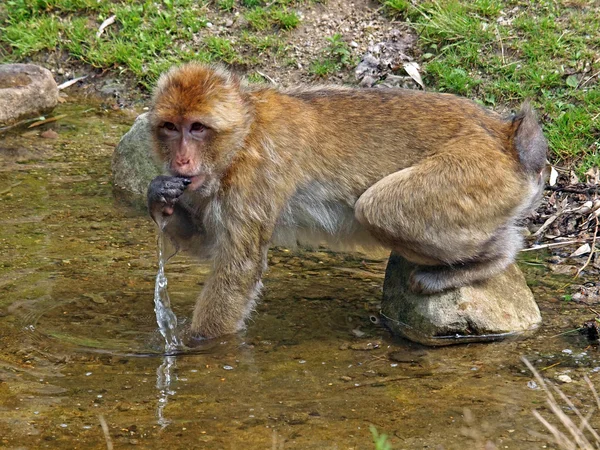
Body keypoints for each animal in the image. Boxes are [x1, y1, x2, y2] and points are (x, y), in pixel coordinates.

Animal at [146, 62, 548, 338]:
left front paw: (198, 345)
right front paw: (156, 195)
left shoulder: (255, 176)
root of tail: (506, 136)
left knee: (377, 209)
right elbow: (207, 244)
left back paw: (494, 256)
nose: (181, 161)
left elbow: (237, 268)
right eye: (170, 128)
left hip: (478, 175)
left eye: (197, 128)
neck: (244, 135)